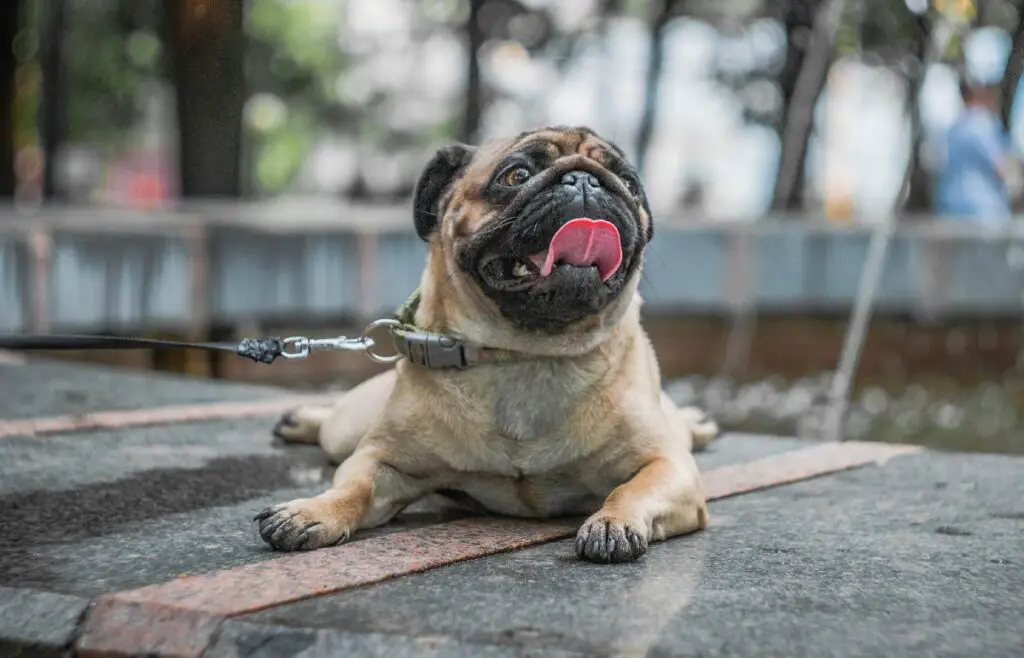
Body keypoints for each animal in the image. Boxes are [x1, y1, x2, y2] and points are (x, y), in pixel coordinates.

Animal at [256, 126, 720, 564]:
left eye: (628, 182)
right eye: (517, 175)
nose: (585, 180)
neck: (526, 353)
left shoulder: (667, 465)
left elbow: (631, 489)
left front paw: (612, 522)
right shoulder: (378, 459)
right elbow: (354, 488)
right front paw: (313, 511)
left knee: (679, 428)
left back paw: (696, 422)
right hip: (347, 430)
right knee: (332, 427)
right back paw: (301, 420)